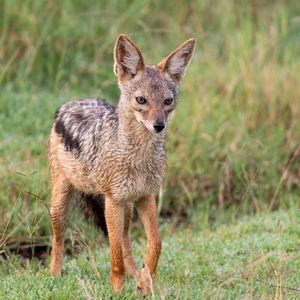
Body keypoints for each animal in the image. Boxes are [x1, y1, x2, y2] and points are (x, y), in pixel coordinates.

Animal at [47, 33, 195, 296]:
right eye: (141, 100)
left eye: (168, 101)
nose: (159, 126)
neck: (138, 158)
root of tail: (70, 103)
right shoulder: (113, 201)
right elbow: (114, 255)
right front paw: (117, 291)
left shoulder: (146, 196)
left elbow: (155, 243)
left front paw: (145, 281)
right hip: (62, 204)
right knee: (58, 239)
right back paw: (54, 275)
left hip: (127, 208)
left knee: (125, 239)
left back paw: (136, 274)